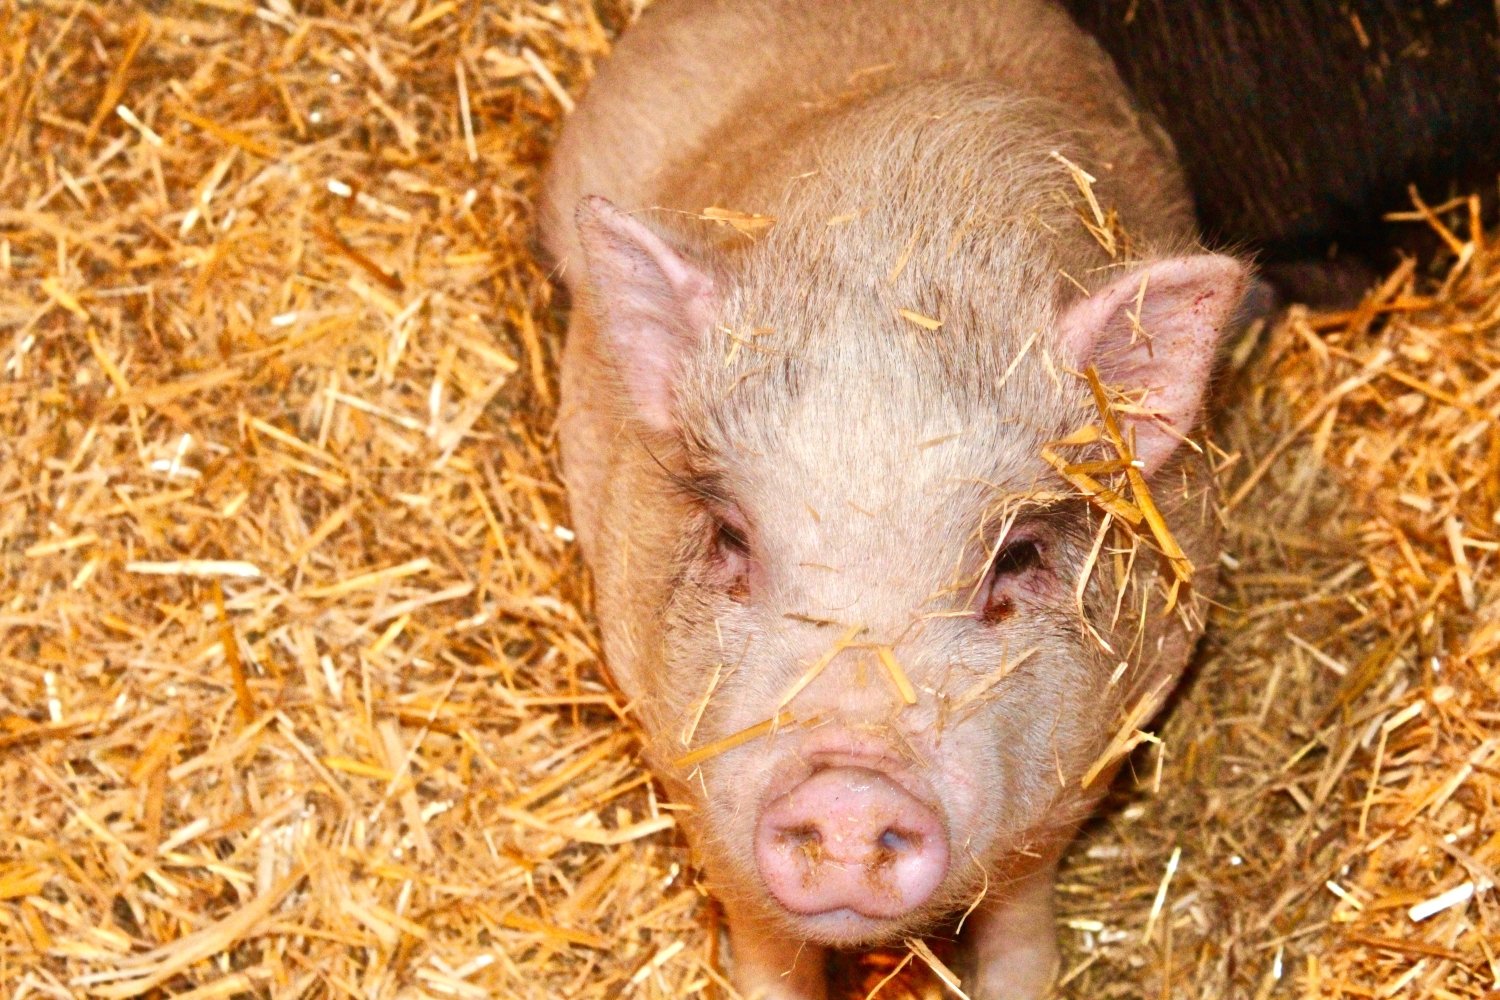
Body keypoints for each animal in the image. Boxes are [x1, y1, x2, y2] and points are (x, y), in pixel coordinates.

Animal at [546, 1, 1248, 1000]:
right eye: (730, 537)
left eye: (1018, 556)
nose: (848, 788)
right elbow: (762, 943)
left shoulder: (1079, 775)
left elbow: (1020, 914)